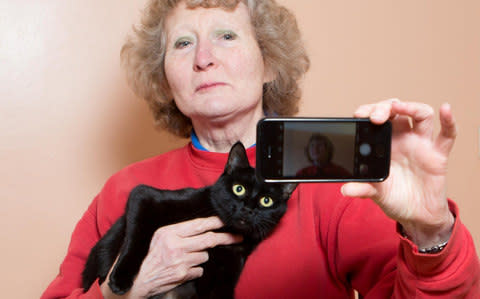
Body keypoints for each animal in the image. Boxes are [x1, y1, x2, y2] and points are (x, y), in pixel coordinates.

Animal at [82, 144, 296, 299]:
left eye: (266, 201)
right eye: (239, 188)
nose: (248, 209)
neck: (224, 230)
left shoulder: (228, 268)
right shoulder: (143, 197)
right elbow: (137, 240)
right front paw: (120, 279)